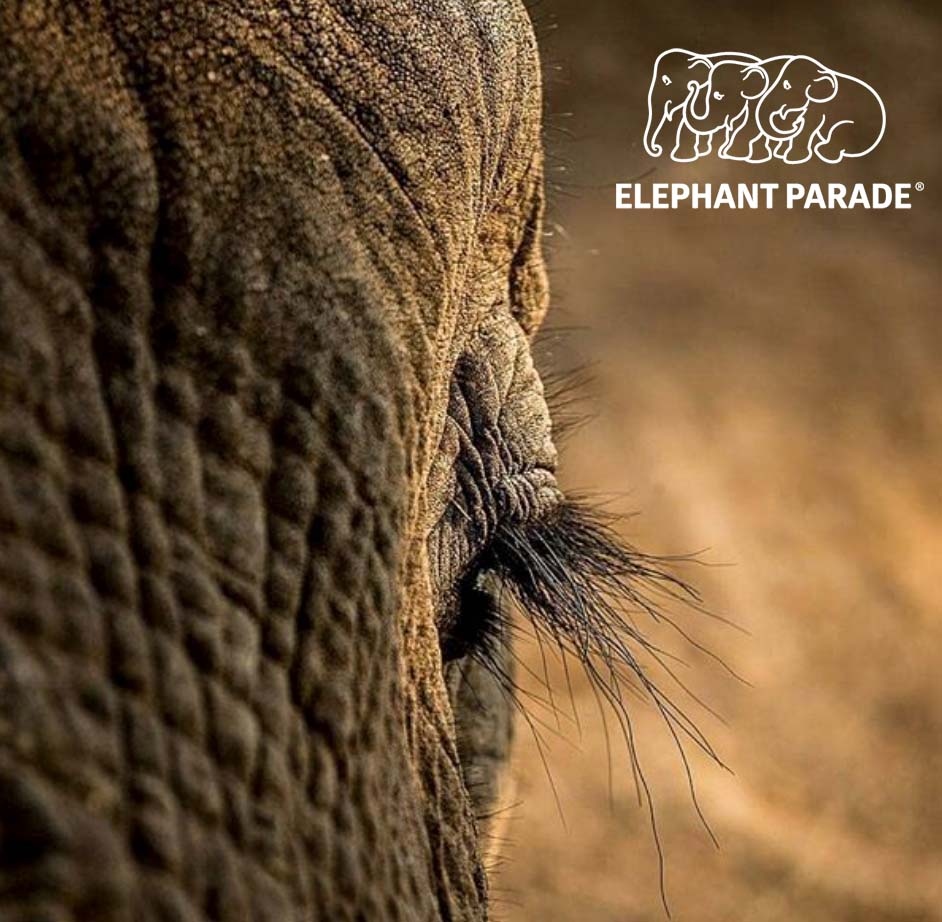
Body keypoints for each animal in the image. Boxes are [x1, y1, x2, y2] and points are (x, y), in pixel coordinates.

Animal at [755, 54, 887, 164]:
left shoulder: (819, 106)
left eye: (786, 85)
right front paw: (781, 153)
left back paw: (823, 151)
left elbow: (810, 125)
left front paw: (791, 158)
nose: (794, 125)